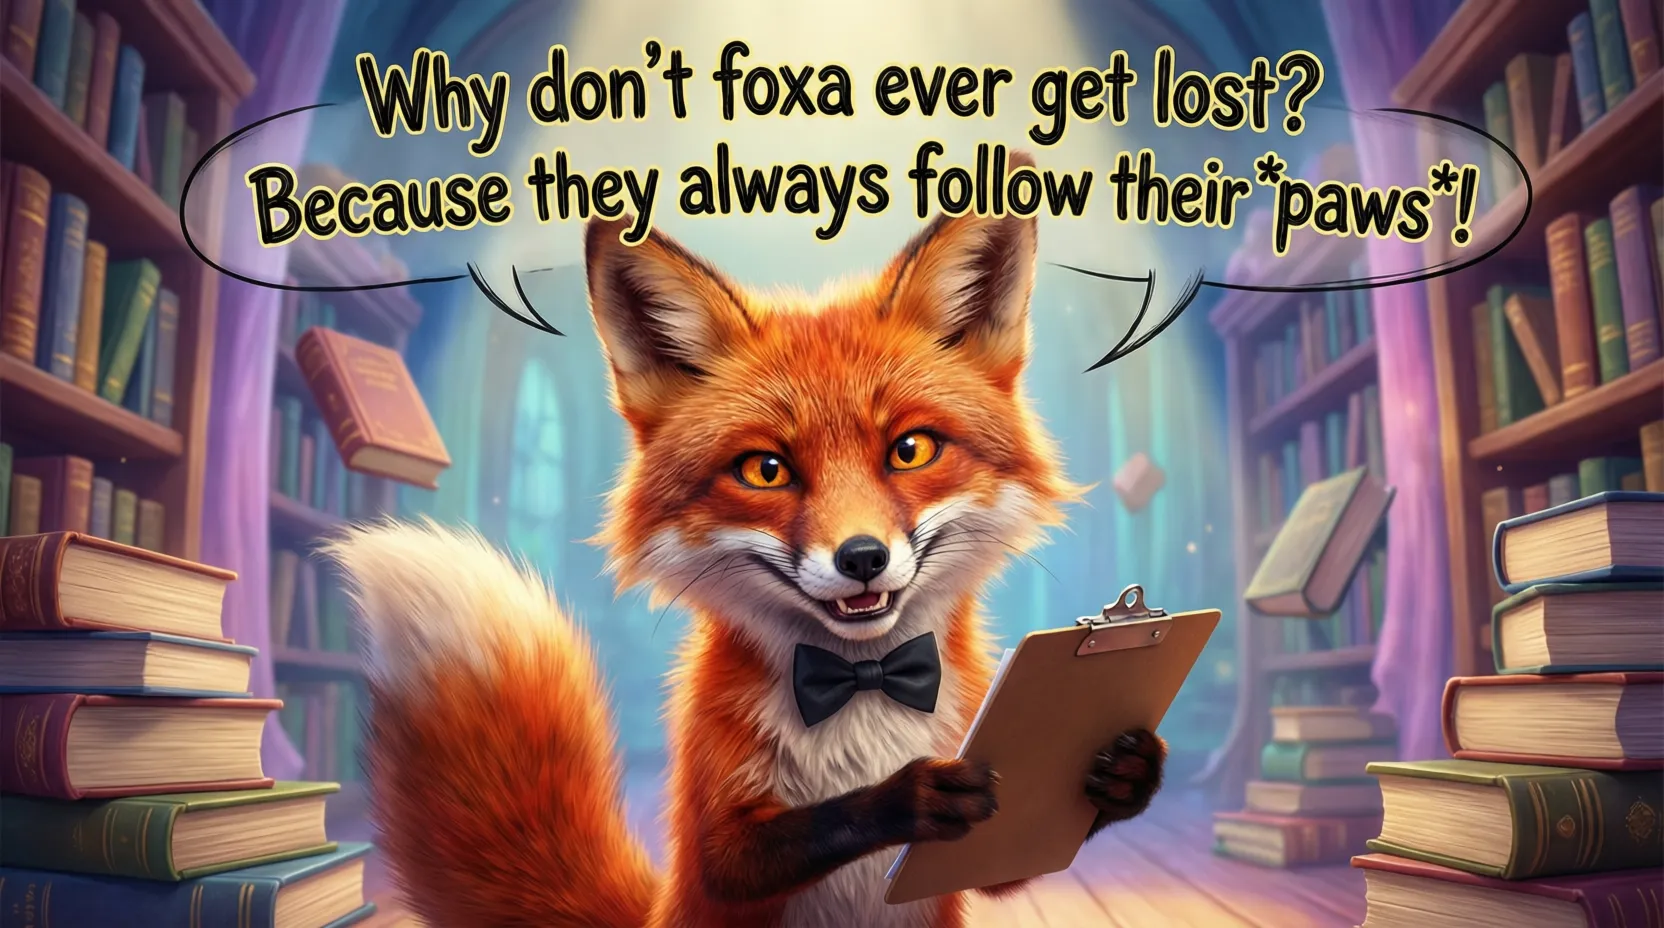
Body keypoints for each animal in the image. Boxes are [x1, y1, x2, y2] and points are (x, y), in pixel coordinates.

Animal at [324, 154, 1166, 928]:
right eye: (765, 469)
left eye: (911, 450)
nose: (862, 557)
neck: (863, 687)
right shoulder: (712, 836)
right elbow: (793, 835)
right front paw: (903, 795)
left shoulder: (978, 842)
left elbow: (1014, 858)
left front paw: (1127, 774)